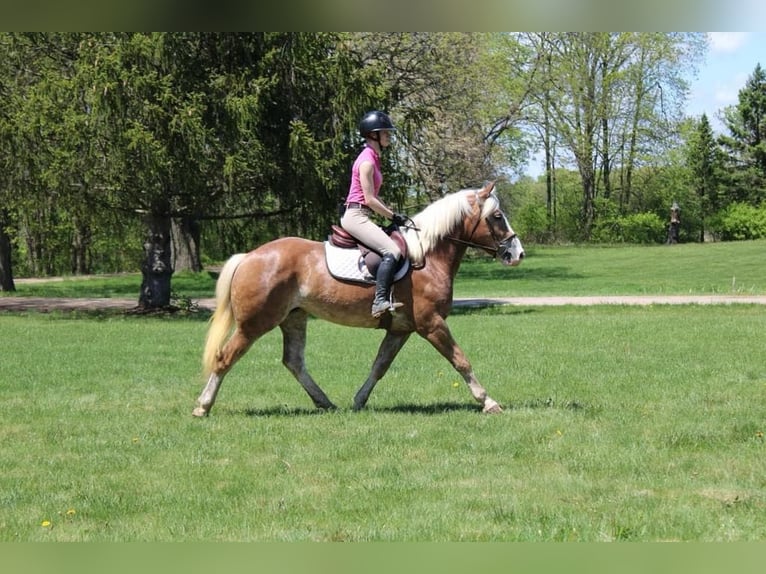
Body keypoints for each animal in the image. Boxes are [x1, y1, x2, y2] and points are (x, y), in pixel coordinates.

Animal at [195, 181, 524, 418]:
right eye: (497, 217)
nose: (517, 253)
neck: (427, 258)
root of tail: (249, 256)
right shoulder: (431, 324)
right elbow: (460, 360)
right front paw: (488, 402)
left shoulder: (401, 329)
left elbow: (379, 365)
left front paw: (359, 400)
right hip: (255, 324)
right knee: (225, 358)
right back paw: (203, 406)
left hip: (294, 318)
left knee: (293, 361)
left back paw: (325, 402)